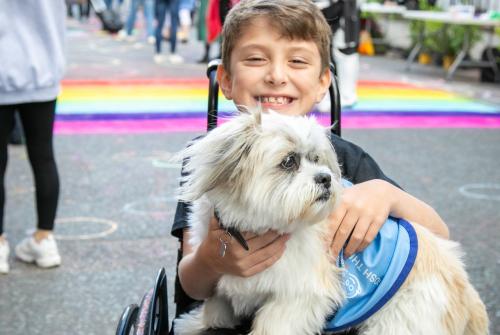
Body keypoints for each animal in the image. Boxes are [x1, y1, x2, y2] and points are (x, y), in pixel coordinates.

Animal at [175, 111, 488, 335]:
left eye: (316, 159)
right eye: (289, 161)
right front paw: (196, 323)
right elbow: (215, 308)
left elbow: (273, 325)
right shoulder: (221, 275)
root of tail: (463, 286)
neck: (260, 227)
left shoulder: (298, 297)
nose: (325, 177)